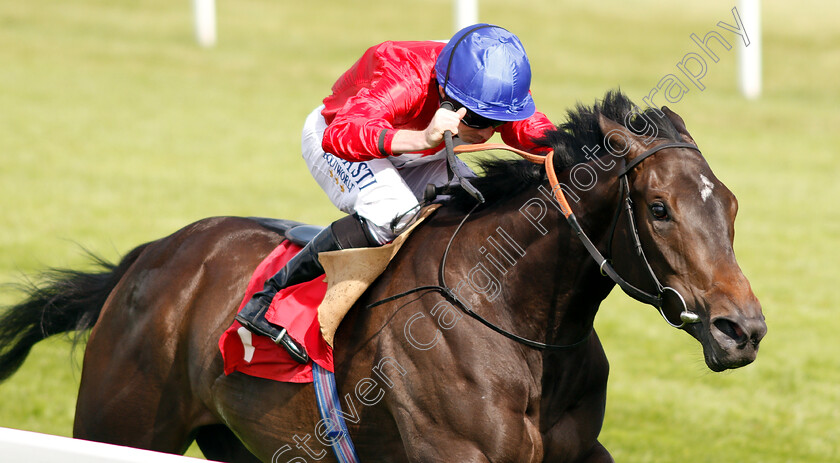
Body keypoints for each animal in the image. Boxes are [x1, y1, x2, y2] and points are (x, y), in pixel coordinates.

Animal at [0, 91, 764, 463]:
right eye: (660, 209)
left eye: (730, 204)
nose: (743, 330)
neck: (517, 314)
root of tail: (150, 257)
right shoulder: (459, 454)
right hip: (120, 422)